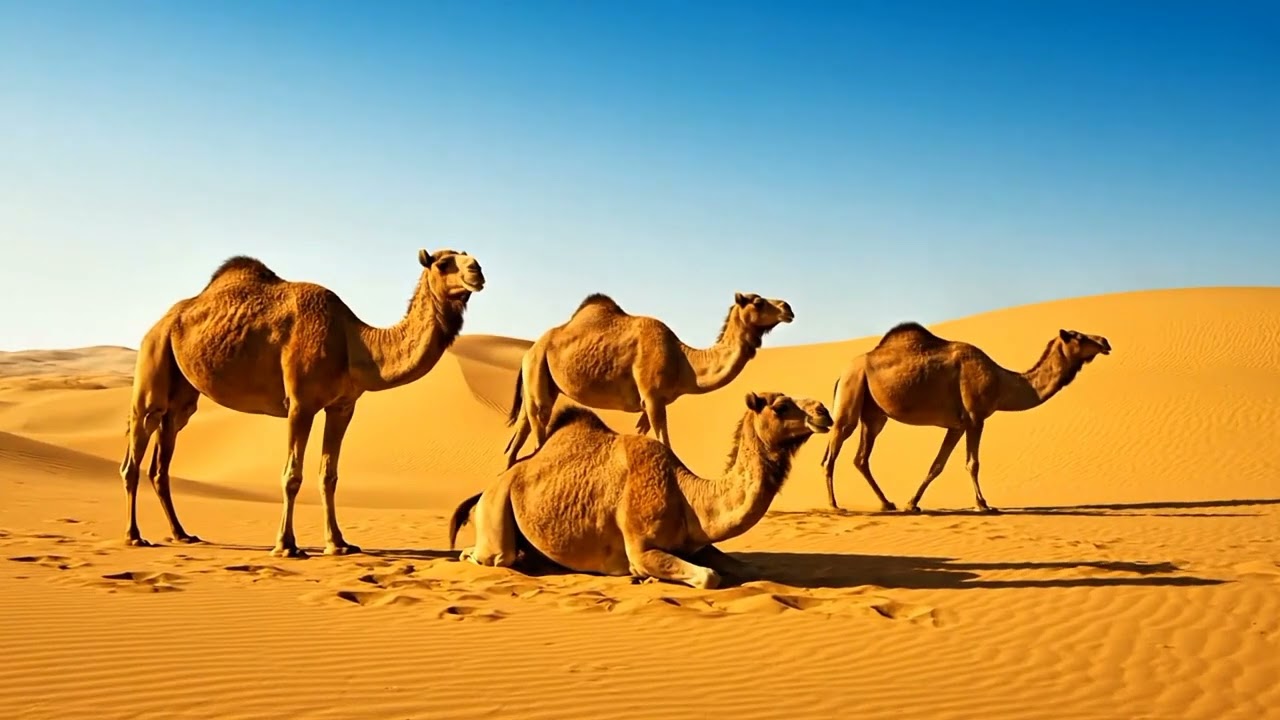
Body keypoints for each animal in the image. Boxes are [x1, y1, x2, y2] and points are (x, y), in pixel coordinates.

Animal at [119, 248, 485, 557]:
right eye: (443, 263)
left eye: (467, 256)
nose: (477, 271)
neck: (354, 343)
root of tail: (161, 323)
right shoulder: (300, 403)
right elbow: (292, 475)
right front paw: (287, 545)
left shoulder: (342, 407)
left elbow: (329, 476)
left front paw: (339, 544)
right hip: (153, 361)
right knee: (135, 452)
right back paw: (134, 536)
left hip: (181, 398)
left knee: (163, 456)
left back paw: (182, 534)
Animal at [450, 391, 832, 589]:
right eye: (781, 406)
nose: (823, 411)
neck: (687, 496)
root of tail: (486, 489)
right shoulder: (641, 548)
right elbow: (709, 578)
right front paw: (643, 578)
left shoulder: (699, 544)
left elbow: (745, 568)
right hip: (496, 513)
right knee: (487, 555)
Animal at [501, 291, 794, 468]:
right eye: (758, 301)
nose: (788, 307)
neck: (684, 361)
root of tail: (529, 351)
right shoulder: (653, 399)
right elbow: (666, 443)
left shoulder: (647, 404)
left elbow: (641, 436)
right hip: (538, 370)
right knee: (538, 433)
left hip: (537, 381)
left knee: (520, 433)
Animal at [820, 323, 1111, 513]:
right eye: (1078, 336)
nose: (1105, 342)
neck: (1001, 382)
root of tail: (841, 373)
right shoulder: (975, 418)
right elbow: (973, 463)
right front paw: (983, 504)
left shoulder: (956, 425)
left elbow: (937, 465)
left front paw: (912, 503)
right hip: (851, 392)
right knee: (833, 450)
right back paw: (834, 505)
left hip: (874, 414)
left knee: (861, 457)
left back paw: (886, 503)